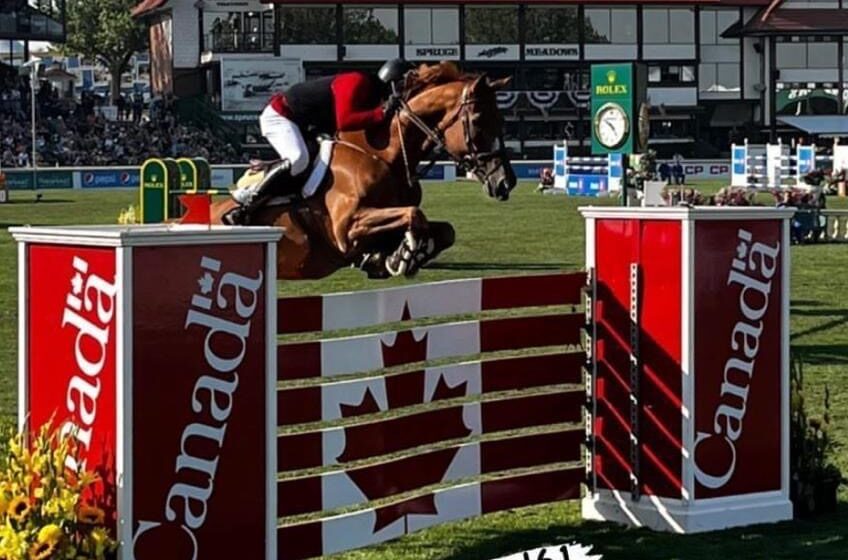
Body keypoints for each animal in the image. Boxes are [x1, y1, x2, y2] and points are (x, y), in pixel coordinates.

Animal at [210, 63, 516, 280]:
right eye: (478, 120)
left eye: (502, 121)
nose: (505, 183)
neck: (385, 156)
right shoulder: (347, 228)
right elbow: (414, 214)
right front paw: (403, 255)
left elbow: (444, 230)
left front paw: (399, 256)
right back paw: (237, 215)